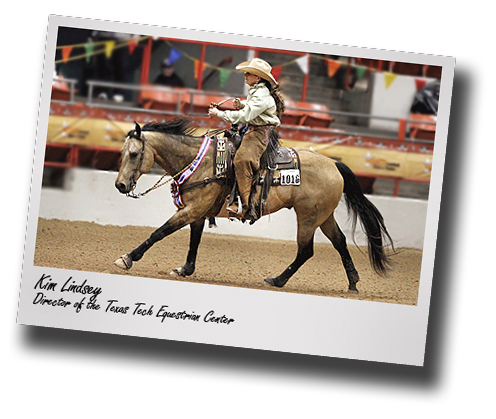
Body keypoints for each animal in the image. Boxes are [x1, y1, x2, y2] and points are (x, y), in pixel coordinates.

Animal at [114, 116, 394, 294]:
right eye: (122, 153)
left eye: (134, 154)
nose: (120, 185)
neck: (200, 162)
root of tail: (334, 164)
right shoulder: (197, 212)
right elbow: (194, 241)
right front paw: (185, 269)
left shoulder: (191, 210)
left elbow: (159, 232)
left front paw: (127, 258)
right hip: (323, 216)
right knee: (339, 242)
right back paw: (353, 282)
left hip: (308, 218)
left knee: (306, 251)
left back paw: (277, 280)